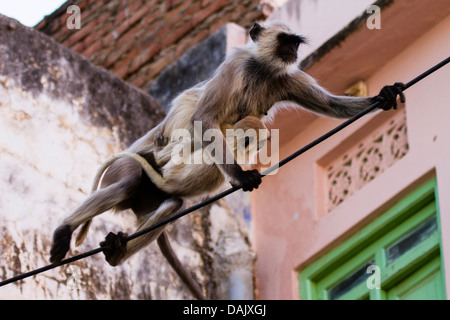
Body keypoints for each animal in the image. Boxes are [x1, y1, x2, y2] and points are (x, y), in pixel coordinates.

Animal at [49, 21, 404, 298]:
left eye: (294, 43)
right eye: (285, 41)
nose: (293, 51)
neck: (261, 69)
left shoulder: (286, 77)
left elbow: (331, 105)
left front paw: (384, 95)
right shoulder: (236, 65)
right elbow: (204, 119)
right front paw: (240, 176)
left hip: (152, 197)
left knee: (171, 204)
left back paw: (116, 252)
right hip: (133, 164)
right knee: (128, 180)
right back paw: (65, 230)